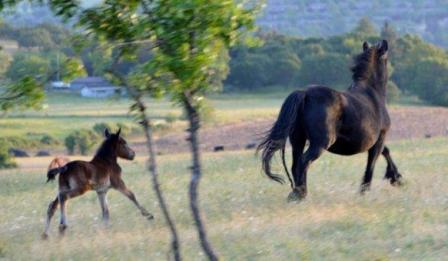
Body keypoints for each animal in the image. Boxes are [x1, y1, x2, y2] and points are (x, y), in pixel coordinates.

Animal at [260, 39, 402, 200]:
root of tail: (305, 93)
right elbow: (371, 165)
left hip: (298, 140)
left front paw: (396, 177)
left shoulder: (375, 141)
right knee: (304, 162)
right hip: (320, 143)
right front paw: (365, 191)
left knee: (295, 164)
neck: (372, 93)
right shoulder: (379, 139)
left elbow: (386, 151)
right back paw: (300, 194)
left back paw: (295, 193)